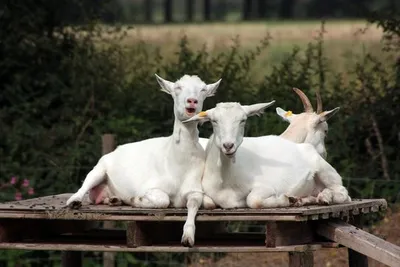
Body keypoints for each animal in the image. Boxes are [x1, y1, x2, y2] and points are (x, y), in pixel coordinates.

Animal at [66, 74, 222, 248]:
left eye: (203, 90)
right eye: (177, 88)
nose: (192, 101)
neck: (176, 164)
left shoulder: (194, 188)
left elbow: (196, 204)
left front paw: (187, 237)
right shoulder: (150, 186)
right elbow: (163, 200)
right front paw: (136, 199)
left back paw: (114, 199)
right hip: (100, 168)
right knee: (86, 184)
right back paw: (75, 201)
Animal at [184, 102, 350, 209]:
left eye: (243, 120)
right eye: (214, 121)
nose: (228, 145)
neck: (226, 180)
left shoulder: (266, 187)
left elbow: (253, 200)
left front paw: (285, 199)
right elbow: (208, 203)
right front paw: (292, 199)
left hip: (325, 171)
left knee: (343, 193)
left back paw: (325, 197)